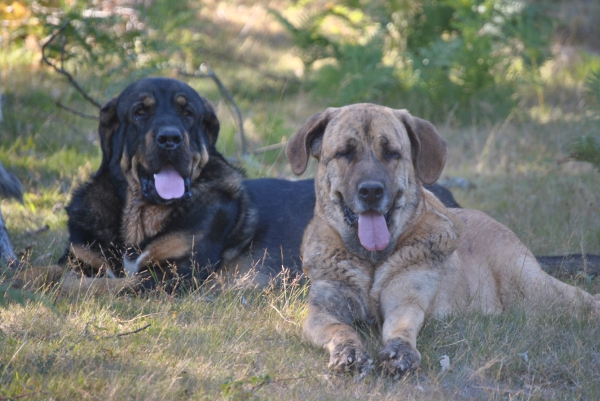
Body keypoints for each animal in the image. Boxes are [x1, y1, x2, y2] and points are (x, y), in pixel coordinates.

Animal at [288, 102, 600, 376]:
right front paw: (350, 351)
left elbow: (401, 328)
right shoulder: (322, 310)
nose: (372, 191)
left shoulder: (406, 300)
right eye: (345, 153)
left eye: (391, 153)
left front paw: (401, 351)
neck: (371, 261)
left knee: (582, 299)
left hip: (531, 287)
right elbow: (341, 329)